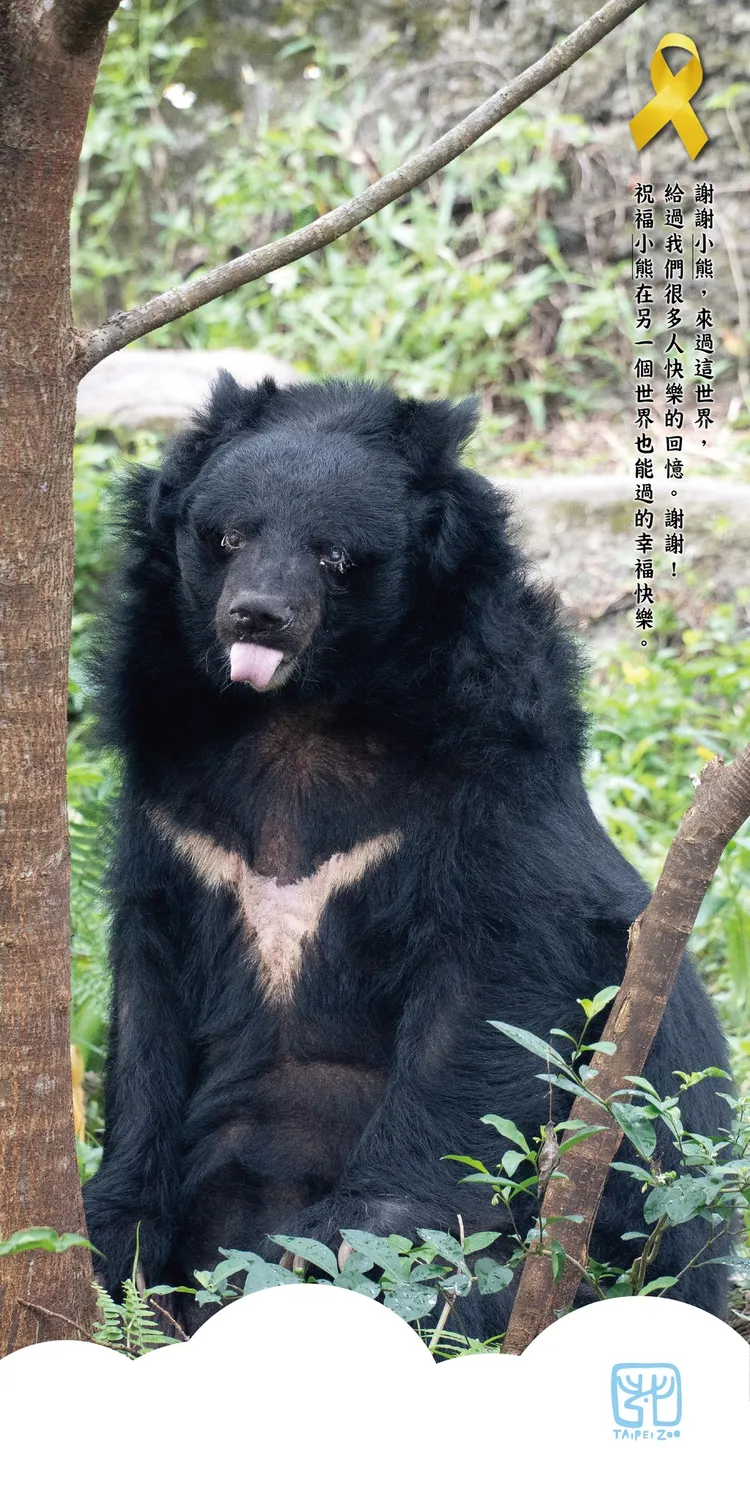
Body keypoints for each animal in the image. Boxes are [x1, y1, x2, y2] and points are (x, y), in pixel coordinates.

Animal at [83, 374, 730, 1336]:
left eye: (334, 556)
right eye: (227, 536)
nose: (257, 617)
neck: (297, 714)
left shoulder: (484, 786)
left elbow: (487, 996)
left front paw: (353, 1247)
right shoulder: (173, 814)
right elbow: (147, 1003)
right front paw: (112, 1231)